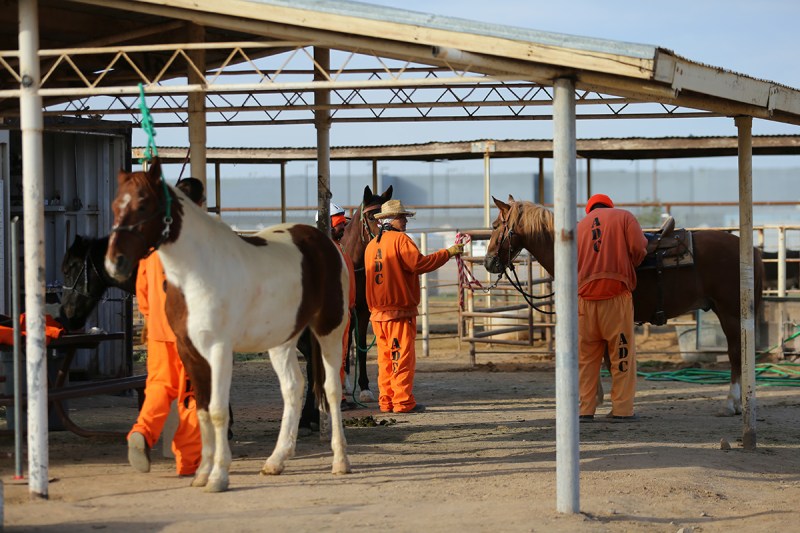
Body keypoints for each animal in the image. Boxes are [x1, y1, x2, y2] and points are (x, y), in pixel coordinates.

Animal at [104, 160, 350, 492]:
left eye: (143, 204)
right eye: (116, 205)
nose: (114, 263)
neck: (197, 273)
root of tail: (323, 241)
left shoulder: (219, 349)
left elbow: (219, 411)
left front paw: (219, 476)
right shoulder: (190, 352)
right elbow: (203, 411)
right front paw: (202, 473)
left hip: (330, 330)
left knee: (332, 389)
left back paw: (340, 461)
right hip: (282, 340)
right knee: (292, 388)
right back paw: (276, 461)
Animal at [484, 195, 764, 416]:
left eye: (496, 226)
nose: (488, 263)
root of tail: (750, 249)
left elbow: (601, 357)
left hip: (729, 312)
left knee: (736, 353)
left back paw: (731, 403)